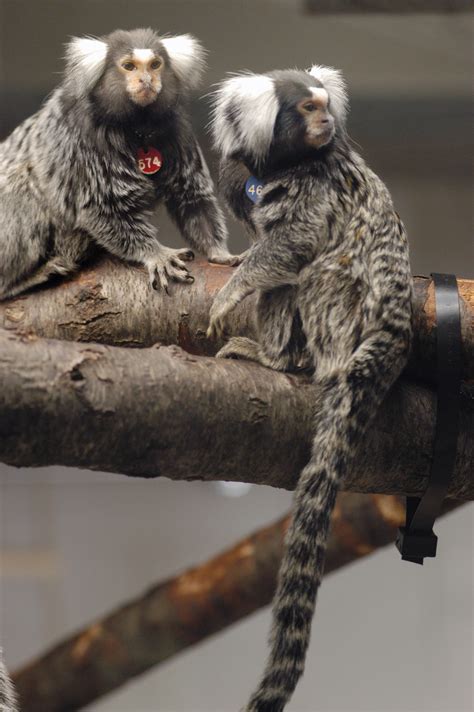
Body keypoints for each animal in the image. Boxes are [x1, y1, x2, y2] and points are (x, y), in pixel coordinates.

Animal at [0, 27, 237, 300]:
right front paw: (156, 253)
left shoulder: (177, 130)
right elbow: (103, 208)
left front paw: (219, 251)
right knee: (22, 183)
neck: (136, 126)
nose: (146, 80)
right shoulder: (81, 135)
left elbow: (191, 195)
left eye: (155, 65)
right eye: (129, 66)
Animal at [207, 67, 412, 712]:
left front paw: (233, 292)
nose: (324, 120)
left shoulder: (313, 187)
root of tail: (393, 338)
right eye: (306, 107)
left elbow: (295, 243)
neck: (277, 165)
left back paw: (279, 359)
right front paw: (238, 260)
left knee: (311, 275)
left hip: (342, 319)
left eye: (325, 105)